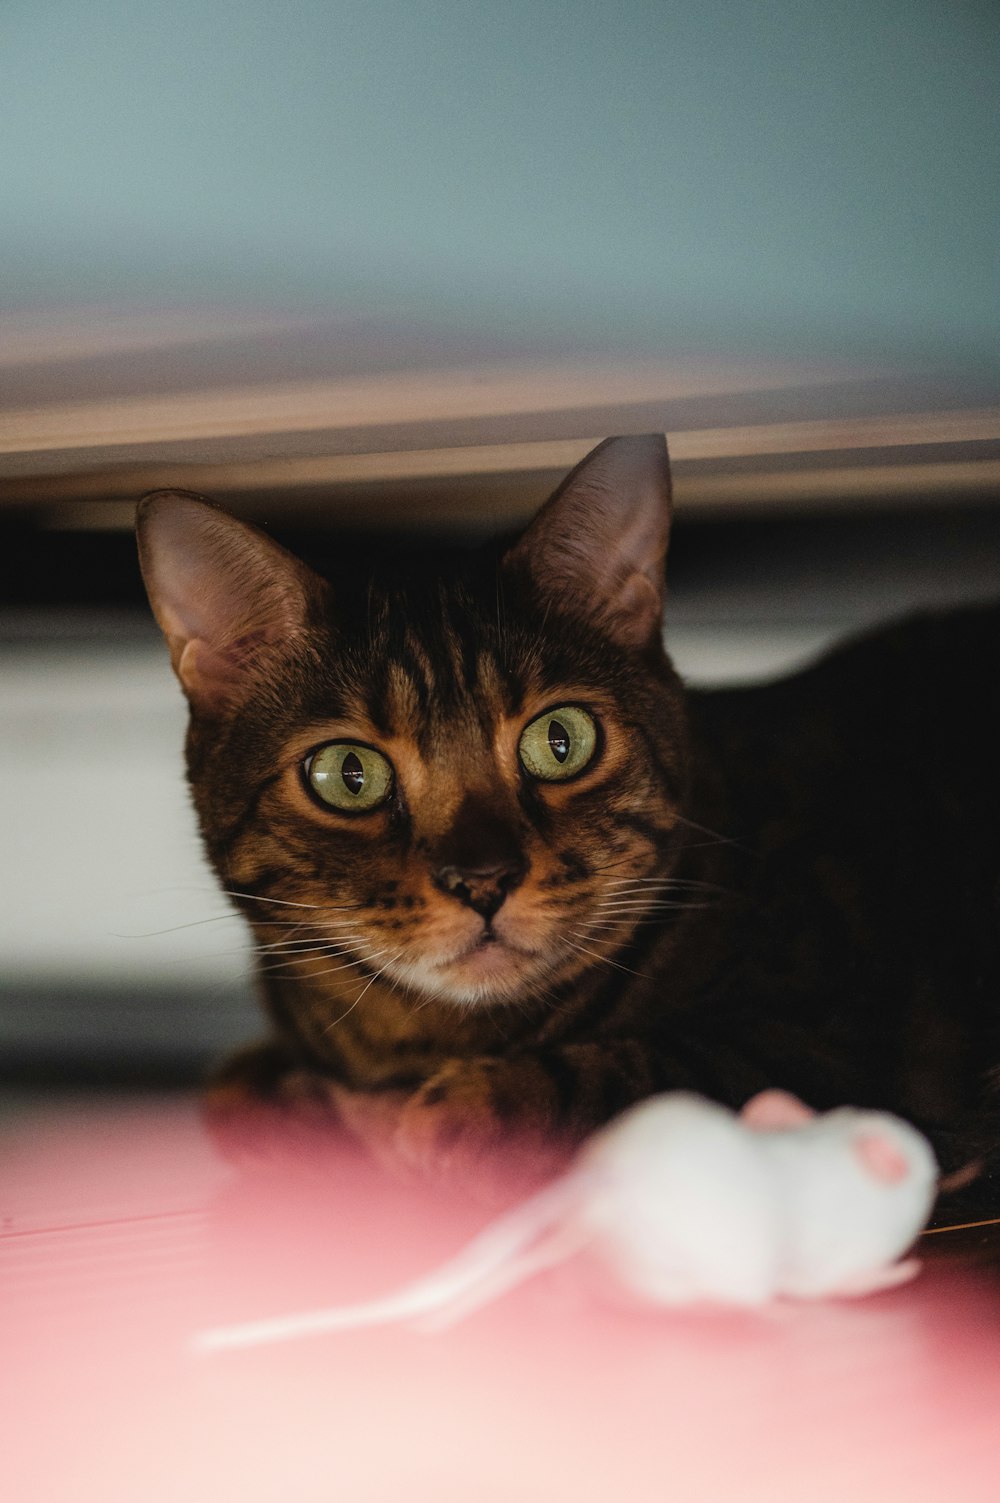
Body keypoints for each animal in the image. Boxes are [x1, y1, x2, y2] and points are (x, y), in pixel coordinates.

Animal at [134, 435, 998, 1208]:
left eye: (561, 740)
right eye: (349, 774)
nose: (482, 880)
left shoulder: (831, 1035)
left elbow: (636, 1072)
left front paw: (447, 1114)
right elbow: (239, 1096)